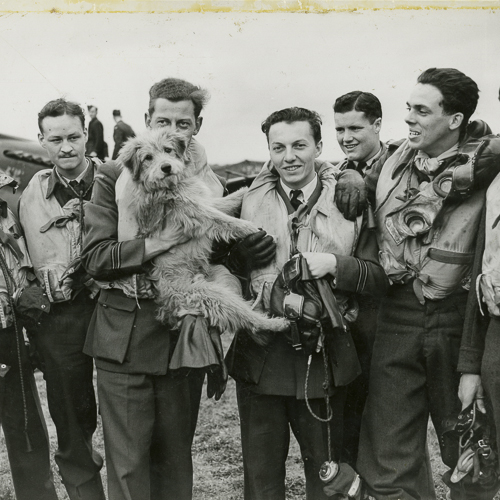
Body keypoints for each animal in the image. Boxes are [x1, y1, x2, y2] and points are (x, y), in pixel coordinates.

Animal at [118, 129, 290, 340]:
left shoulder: (202, 201)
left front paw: (245, 190)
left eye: (168, 149)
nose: (166, 167)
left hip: (224, 281)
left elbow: (223, 203)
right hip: (213, 296)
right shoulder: (195, 213)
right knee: (246, 318)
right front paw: (251, 229)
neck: (170, 186)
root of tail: (169, 307)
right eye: (148, 158)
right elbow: (223, 220)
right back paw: (275, 323)